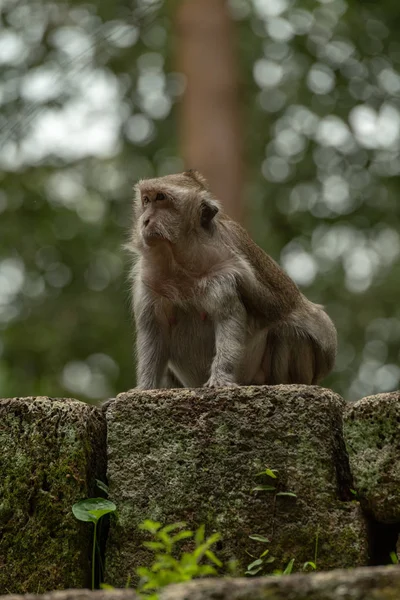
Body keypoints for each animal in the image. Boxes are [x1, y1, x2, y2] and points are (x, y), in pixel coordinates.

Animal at [129, 169, 338, 390]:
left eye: (160, 198)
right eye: (146, 200)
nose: (145, 221)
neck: (180, 262)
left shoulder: (224, 274)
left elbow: (229, 318)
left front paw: (220, 378)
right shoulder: (148, 282)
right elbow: (153, 331)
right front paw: (145, 387)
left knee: (290, 332)